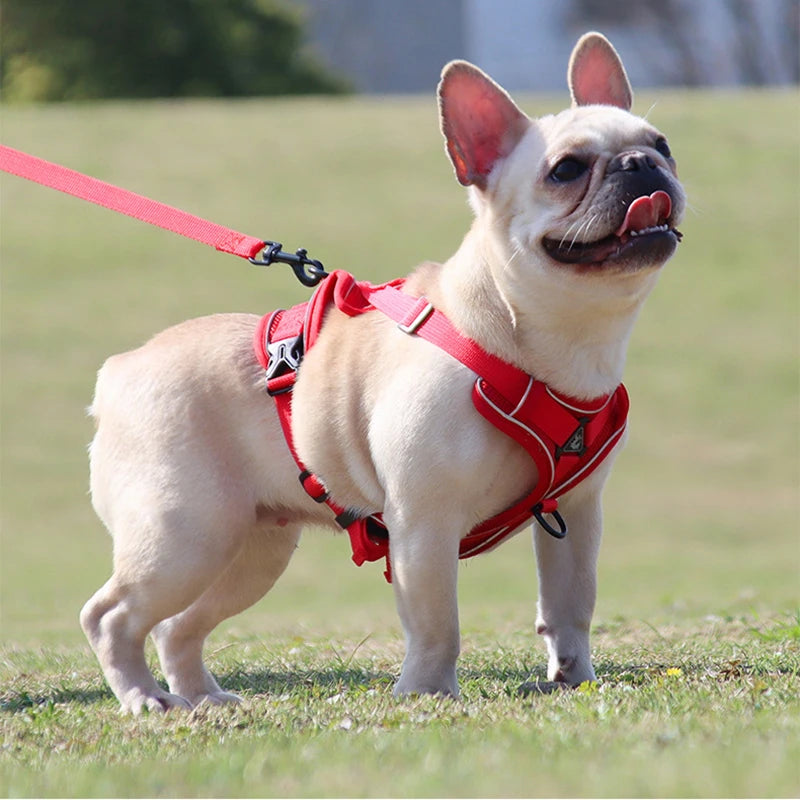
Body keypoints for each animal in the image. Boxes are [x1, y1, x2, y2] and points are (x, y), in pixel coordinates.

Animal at [83, 32, 688, 712]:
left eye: (662, 143)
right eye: (565, 170)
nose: (640, 164)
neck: (546, 336)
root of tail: (120, 373)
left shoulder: (578, 514)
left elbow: (571, 602)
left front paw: (573, 678)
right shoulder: (424, 522)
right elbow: (436, 620)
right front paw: (427, 693)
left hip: (249, 549)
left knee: (176, 625)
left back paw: (203, 697)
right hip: (184, 534)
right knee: (110, 616)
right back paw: (144, 699)